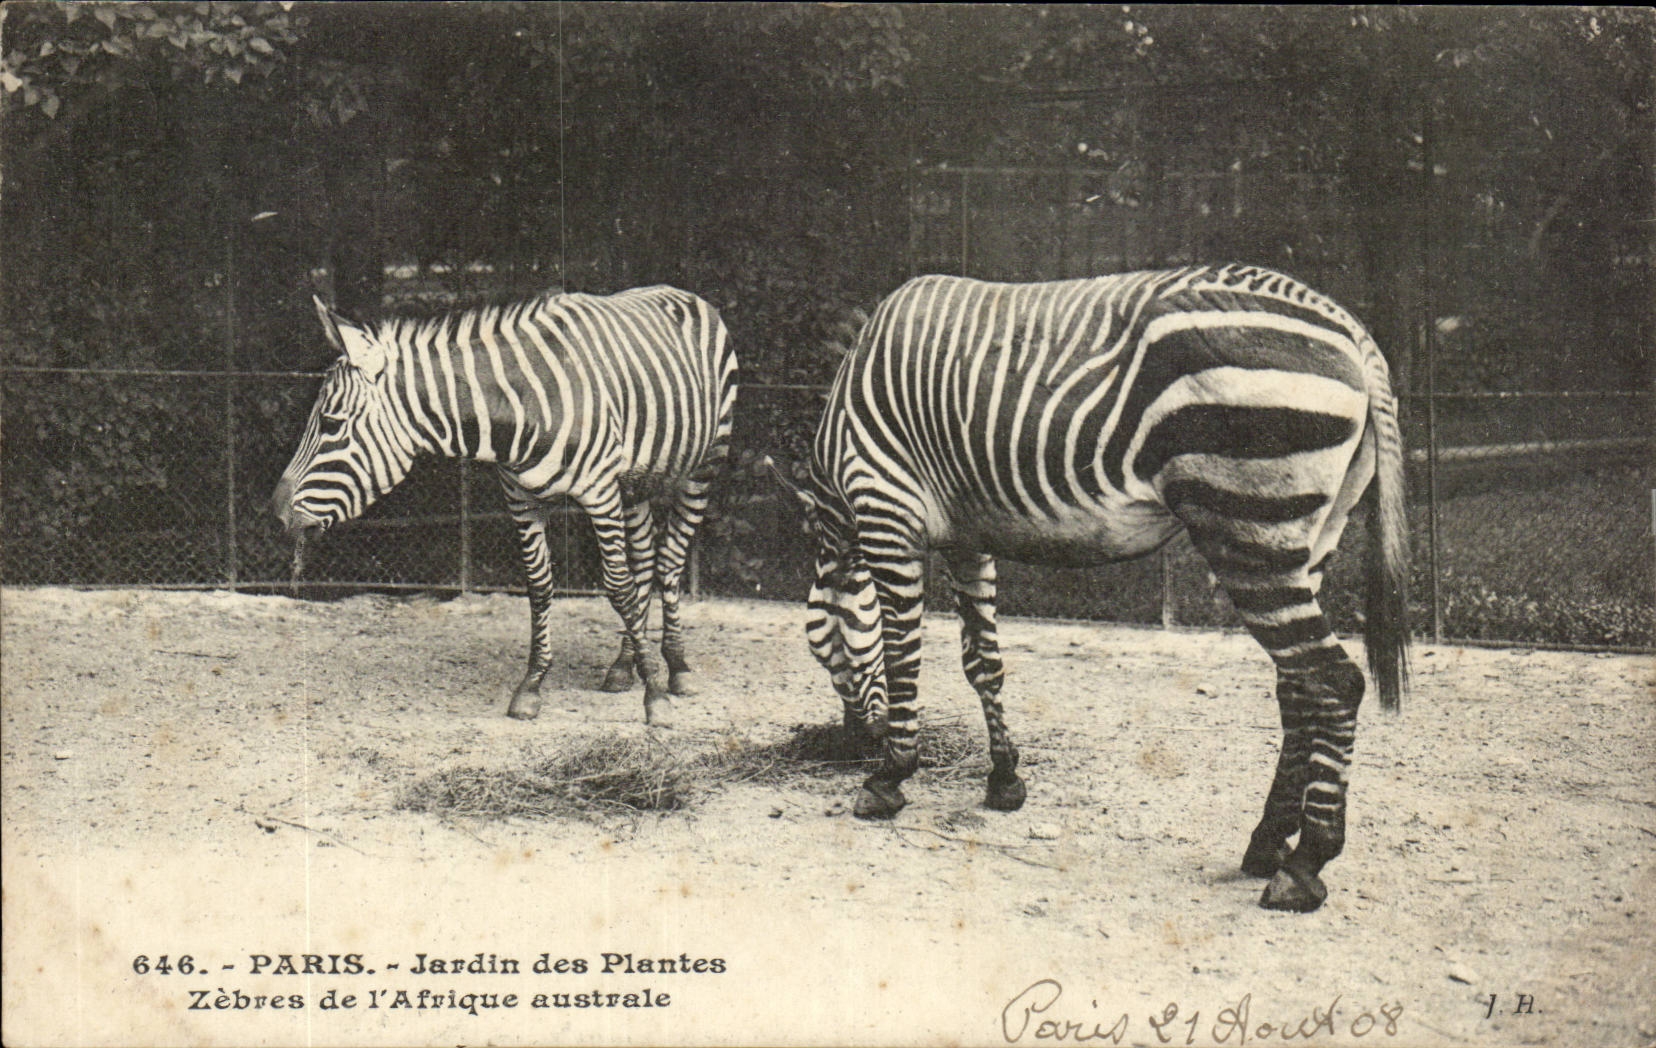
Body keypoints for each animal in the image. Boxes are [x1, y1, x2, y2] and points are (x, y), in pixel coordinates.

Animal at [272, 285, 739, 727]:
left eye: (331, 424)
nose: (277, 515)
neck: (523, 408)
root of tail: (682, 293)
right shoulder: (520, 499)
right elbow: (540, 586)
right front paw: (532, 684)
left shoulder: (600, 493)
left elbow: (617, 587)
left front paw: (655, 698)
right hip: (636, 485)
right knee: (644, 565)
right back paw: (625, 666)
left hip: (703, 466)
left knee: (667, 564)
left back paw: (676, 668)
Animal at [785, 265, 1408, 912]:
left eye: (821, 647)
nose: (855, 743)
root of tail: (1350, 327)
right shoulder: (967, 537)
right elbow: (983, 662)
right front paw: (1004, 779)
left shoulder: (887, 512)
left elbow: (902, 656)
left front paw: (889, 777)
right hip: (1310, 534)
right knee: (1298, 686)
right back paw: (1267, 843)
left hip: (1248, 526)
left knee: (1333, 681)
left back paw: (1305, 866)